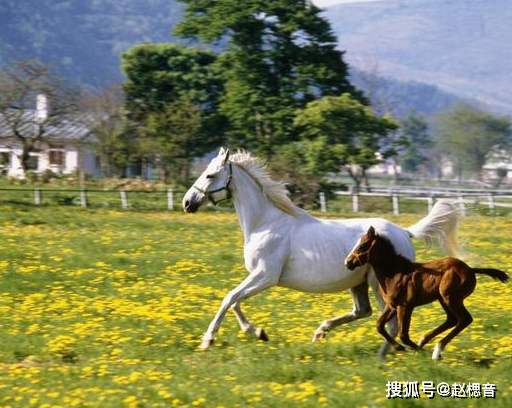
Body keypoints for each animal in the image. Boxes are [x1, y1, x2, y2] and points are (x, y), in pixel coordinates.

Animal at [182, 148, 458, 356]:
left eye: (209, 175)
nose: (187, 202)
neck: (266, 223)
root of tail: (404, 232)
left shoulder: (265, 276)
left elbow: (229, 298)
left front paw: (208, 340)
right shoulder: (258, 277)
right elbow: (236, 301)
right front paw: (259, 332)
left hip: (379, 284)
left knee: (388, 321)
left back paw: (386, 355)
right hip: (358, 283)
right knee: (363, 311)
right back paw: (321, 332)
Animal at [344, 226, 508, 360]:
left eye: (363, 245)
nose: (348, 262)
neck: (395, 273)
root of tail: (470, 269)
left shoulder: (405, 306)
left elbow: (403, 334)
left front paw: (415, 350)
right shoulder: (391, 306)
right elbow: (379, 325)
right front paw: (400, 348)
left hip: (451, 297)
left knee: (464, 319)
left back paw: (436, 351)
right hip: (443, 298)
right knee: (452, 319)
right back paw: (425, 341)